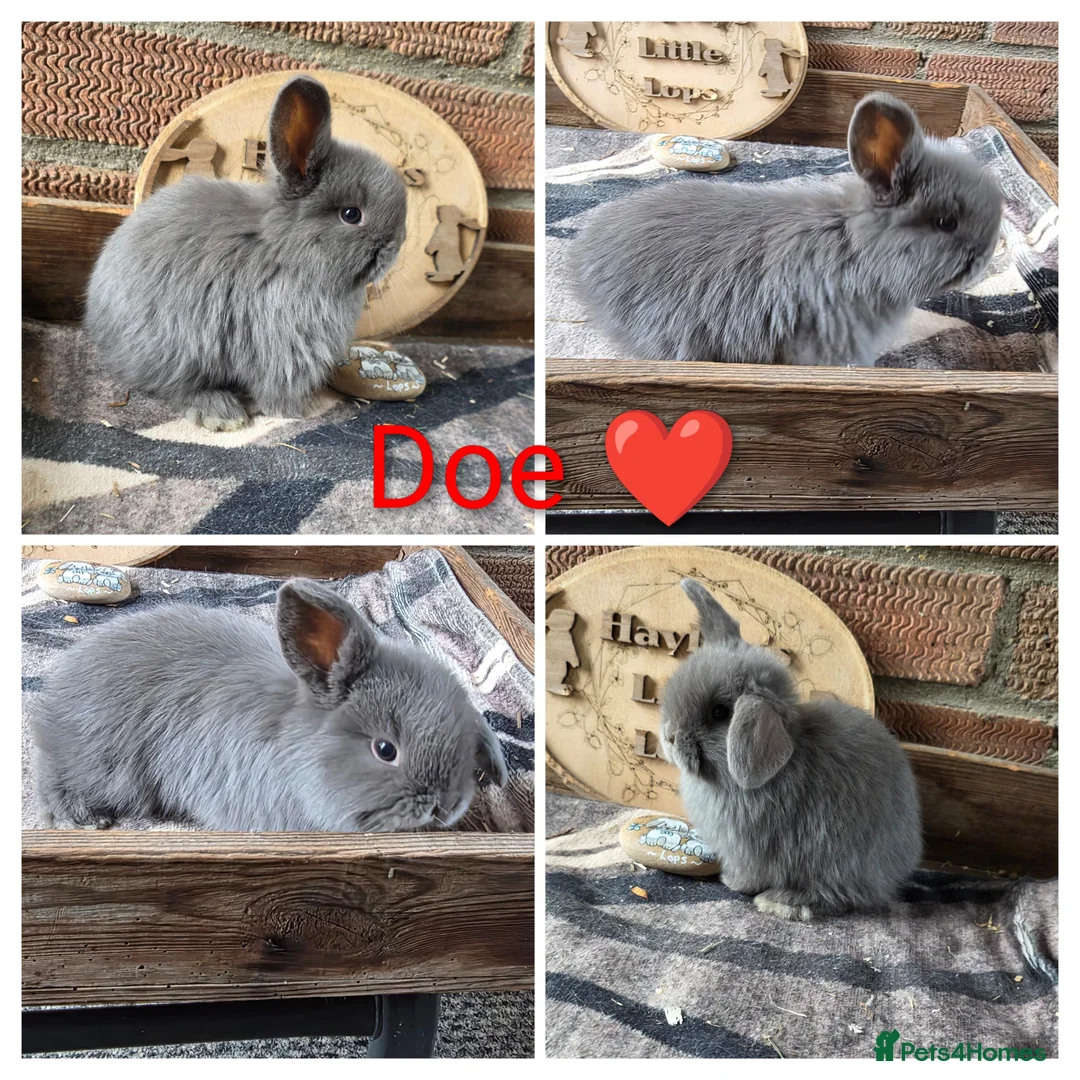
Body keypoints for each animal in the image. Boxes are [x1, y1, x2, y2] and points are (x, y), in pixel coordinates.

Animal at [86, 75, 408, 430]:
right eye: (351, 214)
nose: (397, 245)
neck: (284, 250)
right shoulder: (284, 344)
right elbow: (278, 386)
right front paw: (295, 412)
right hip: (174, 350)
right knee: (174, 387)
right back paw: (222, 414)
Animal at [658, 579, 921, 920]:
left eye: (719, 713)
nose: (670, 736)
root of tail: (899, 866)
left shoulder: (748, 849)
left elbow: (749, 874)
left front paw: (731, 882)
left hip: (835, 860)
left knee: (838, 895)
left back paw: (781, 902)